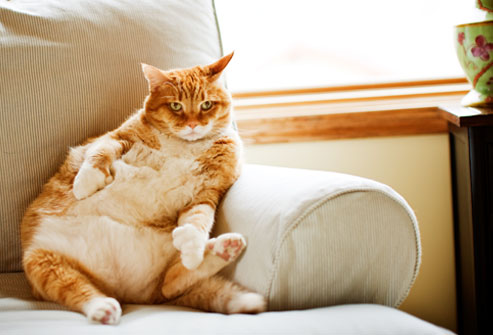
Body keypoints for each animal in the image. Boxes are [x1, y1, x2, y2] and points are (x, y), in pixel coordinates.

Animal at [19, 53, 266, 326]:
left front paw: (193, 249)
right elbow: (98, 154)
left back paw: (223, 249)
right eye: (176, 106)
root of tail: (130, 292)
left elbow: (197, 222)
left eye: (206, 105)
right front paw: (85, 184)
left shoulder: (207, 193)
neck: (184, 146)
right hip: (43, 262)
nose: (192, 125)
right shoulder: (117, 137)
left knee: (171, 282)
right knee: (80, 290)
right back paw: (103, 308)